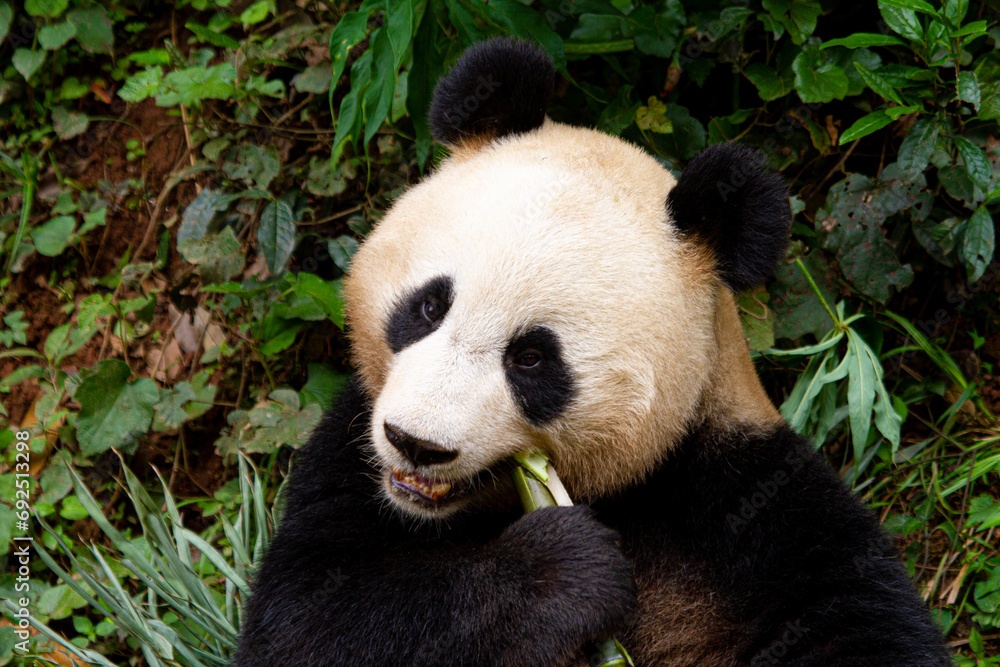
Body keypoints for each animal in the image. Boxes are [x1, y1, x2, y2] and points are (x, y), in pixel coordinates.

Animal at [233, 39, 950, 666]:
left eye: (531, 358)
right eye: (429, 307)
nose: (417, 444)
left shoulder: (745, 501)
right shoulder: (350, 457)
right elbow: (314, 621)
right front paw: (561, 568)